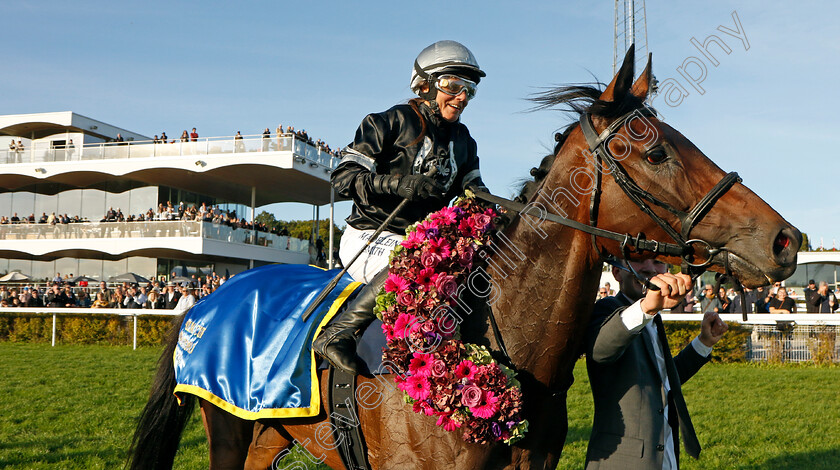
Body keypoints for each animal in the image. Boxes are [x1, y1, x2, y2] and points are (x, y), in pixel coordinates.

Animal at [128, 47, 796, 470]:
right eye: (656, 152)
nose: (785, 241)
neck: (504, 339)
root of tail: (202, 303)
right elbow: (352, 173)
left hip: (271, 435)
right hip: (229, 430)